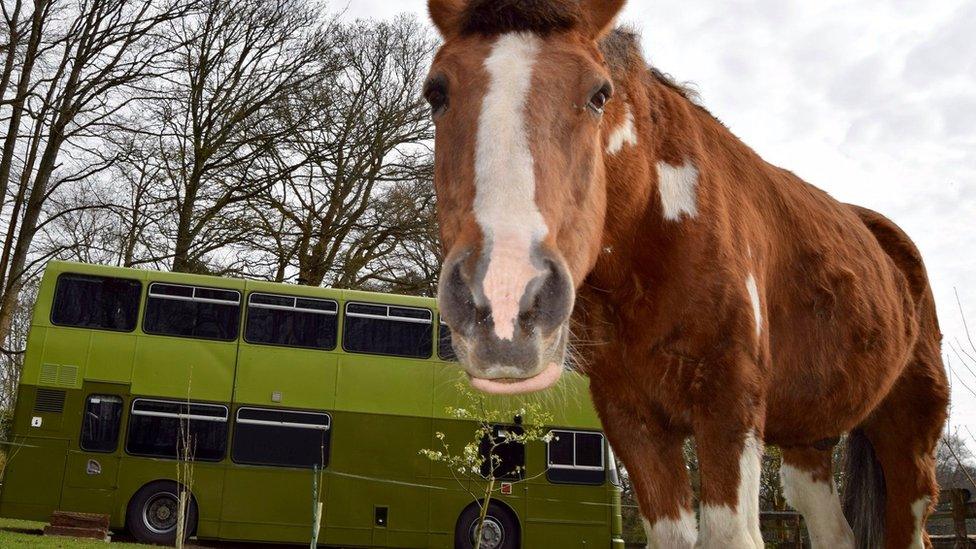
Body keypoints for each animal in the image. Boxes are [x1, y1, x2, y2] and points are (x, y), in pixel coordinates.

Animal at [426, 1, 944, 544]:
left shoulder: (729, 401)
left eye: (598, 94)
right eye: (436, 93)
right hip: (810, 442)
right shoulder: (632, 417)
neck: (655, 233)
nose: (503, 303)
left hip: (909, 431)